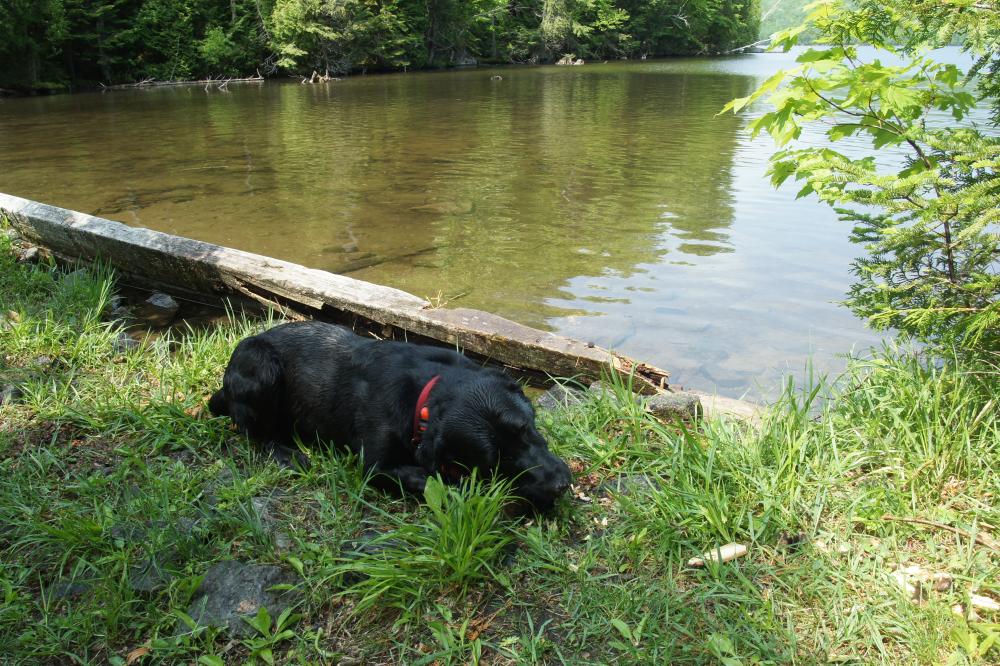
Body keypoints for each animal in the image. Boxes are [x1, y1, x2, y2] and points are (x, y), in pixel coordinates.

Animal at [208, 320, 576, 508]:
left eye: (526, 428)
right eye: (493, 461)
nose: (560, 485)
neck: (426, 396)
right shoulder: (374, 467)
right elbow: (426, 477)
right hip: (261, 364)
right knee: (252, 432)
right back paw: (286, 452)